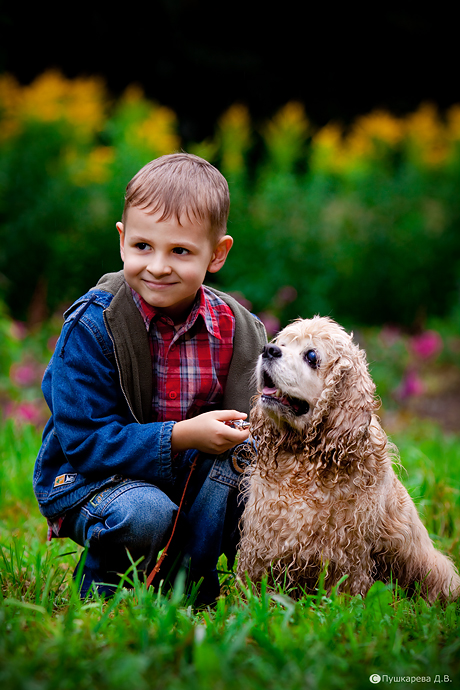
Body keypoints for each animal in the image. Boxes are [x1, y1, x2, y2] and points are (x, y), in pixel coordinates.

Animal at [237, 316, 460, 602]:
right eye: (281, 344)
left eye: (311, 356)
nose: (268, 350)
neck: (305, 457)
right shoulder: (263, 535)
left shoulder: (345, 551)